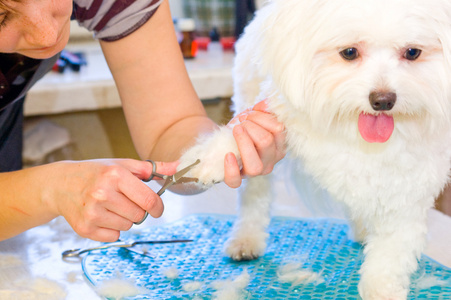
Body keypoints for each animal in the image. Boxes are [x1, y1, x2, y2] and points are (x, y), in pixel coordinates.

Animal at [178, 0, 451, 298]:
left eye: (412, 52)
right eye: (349, 52)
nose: (383, 100)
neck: (354, 131)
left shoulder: (409, 189)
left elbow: (392, 252)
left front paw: (382, 288)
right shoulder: (276, 116)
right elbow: (236, 138)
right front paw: (206, 161)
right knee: (255, 196)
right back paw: (246, 239)